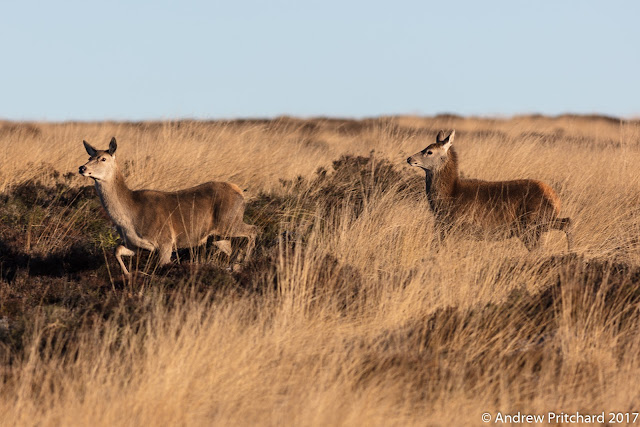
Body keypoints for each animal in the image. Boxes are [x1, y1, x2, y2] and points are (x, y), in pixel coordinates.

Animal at [79, 137, 258, 278]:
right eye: (89, 156)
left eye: (103, 159)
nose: (82, 168)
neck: (131, 217)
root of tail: (240, 192)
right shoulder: (134, 244)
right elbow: (116, 250)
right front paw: (129, 274)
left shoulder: (165, 240)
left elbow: (161, 266)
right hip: (218, 235)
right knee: (232, 247)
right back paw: (234, 266)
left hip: (229, 221)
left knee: (253, 230)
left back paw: (244, 263)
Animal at [408, 130, 572, 251]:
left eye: (429, 151)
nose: (409, 159)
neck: (448, 197)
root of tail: (556, 200)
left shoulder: (458, 227)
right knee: (567, 221)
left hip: (532, 223)